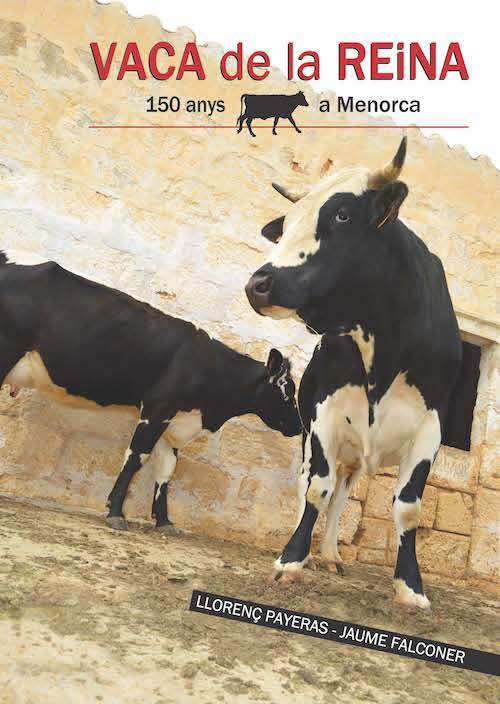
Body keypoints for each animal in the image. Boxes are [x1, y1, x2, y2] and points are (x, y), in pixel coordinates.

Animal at [0, 253, 301, 531]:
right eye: (287, 390)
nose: (299, 426)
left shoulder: (174, 421)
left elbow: (166, 469)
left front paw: (164, 521)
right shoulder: (157, 408)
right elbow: (136, 458)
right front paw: (116, 513)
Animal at [245, 137, 463, 609]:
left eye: (342, 215)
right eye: (285, 225)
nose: (257, 285)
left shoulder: (431, 425)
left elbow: (408, 508)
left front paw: (410, 587)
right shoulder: (323, 413)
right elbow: (315, 489)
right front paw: (291, 559)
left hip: (356, 460)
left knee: (342, 498)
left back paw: (329, 555)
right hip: (312, 436)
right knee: (311, 486)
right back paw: (310, 552)